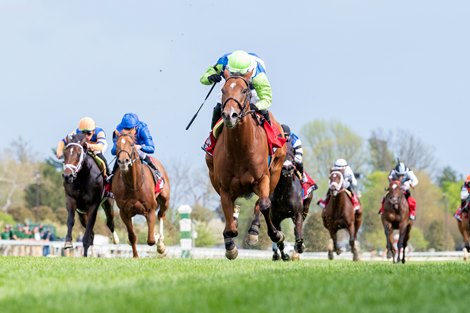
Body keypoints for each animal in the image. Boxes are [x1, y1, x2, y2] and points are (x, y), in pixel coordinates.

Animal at [112, 130, 171, 258]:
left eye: (132, 144)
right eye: (117, 145)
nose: (123, 161)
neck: (134, 184)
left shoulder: (150, 210)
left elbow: (151, 240)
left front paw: (157, 239)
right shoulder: (124, 212)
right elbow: (132, 236)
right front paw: (135, 256)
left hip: (165, 200)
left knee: (161, 215)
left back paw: (161, 245)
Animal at [206, 69, 286, 260]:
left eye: (244, 90)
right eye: (223, 90)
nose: (230, 115)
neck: (240, 149)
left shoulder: (263, 178)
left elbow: (264, 204)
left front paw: (275, 234)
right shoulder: (224, 187)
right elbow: (229, 224)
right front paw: (230, 245)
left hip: (275, 173)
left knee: (260, 203)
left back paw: (254, 231)